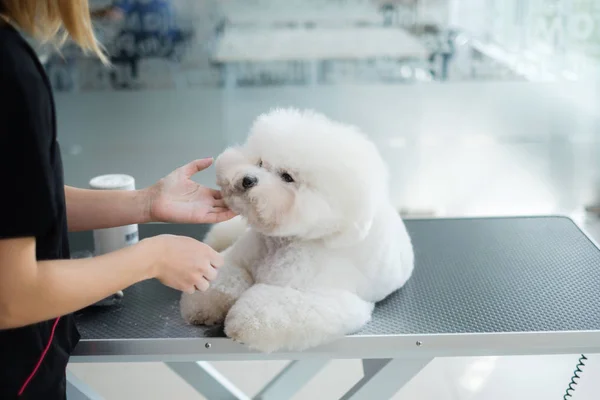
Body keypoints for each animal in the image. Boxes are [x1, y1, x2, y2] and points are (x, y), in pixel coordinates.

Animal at [180, 108, 414, 352]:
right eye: (260, 162)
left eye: (287, 177)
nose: (247, 179)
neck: (278, 243)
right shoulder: (238, 259)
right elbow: (224, 278)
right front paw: (202, 306)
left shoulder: (319, 296)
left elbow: (270, 308)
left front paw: (242, 324)